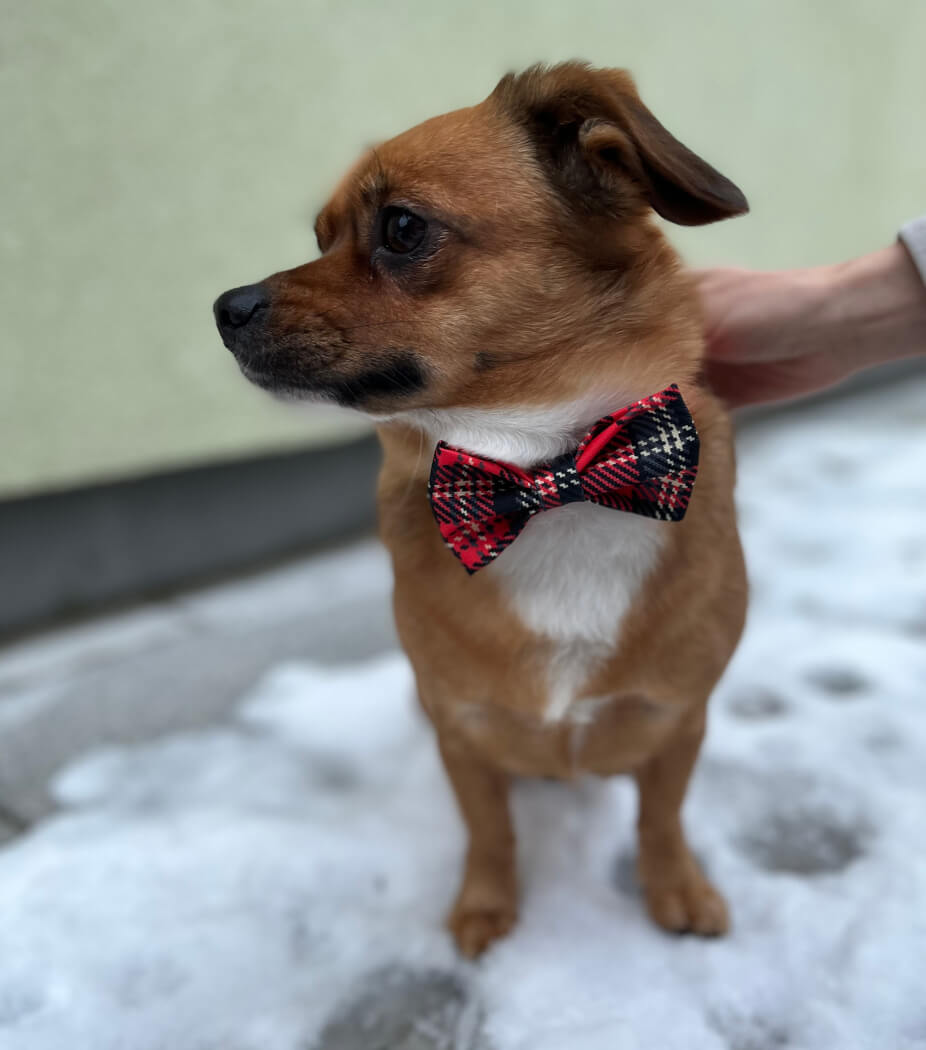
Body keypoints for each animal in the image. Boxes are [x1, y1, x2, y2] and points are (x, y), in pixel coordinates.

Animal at [214, 62, 749, 958]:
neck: (540, 473)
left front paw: (674, 886)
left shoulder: (678, 720)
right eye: (321, 237)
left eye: (401, 227)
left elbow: (661, 818)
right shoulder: (461, 735)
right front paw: (487, 906)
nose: (225, 308)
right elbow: (491, 831)